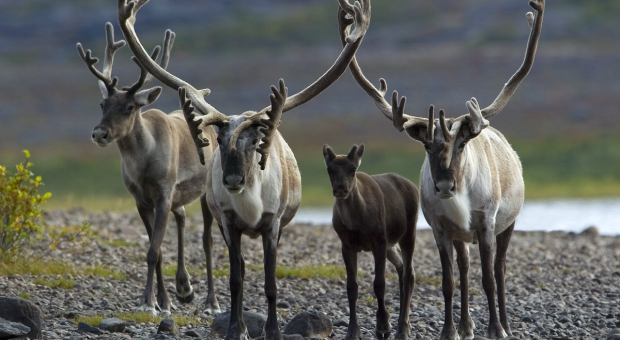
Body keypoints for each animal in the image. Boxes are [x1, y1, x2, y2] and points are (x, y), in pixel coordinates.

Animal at [322, 144, 418, 340]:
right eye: (329, 169)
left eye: (353, 169)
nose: (341, 189)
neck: (355, 221)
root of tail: (413, 185)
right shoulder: (347, 245)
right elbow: (351, 287)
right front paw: (352, 331)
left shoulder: (378, 242)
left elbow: (379, 284)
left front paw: (383, 327)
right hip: (390, 244)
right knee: (401, 268)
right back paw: (404, 323)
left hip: (408, 233)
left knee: (409, 274)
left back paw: (403, 328)